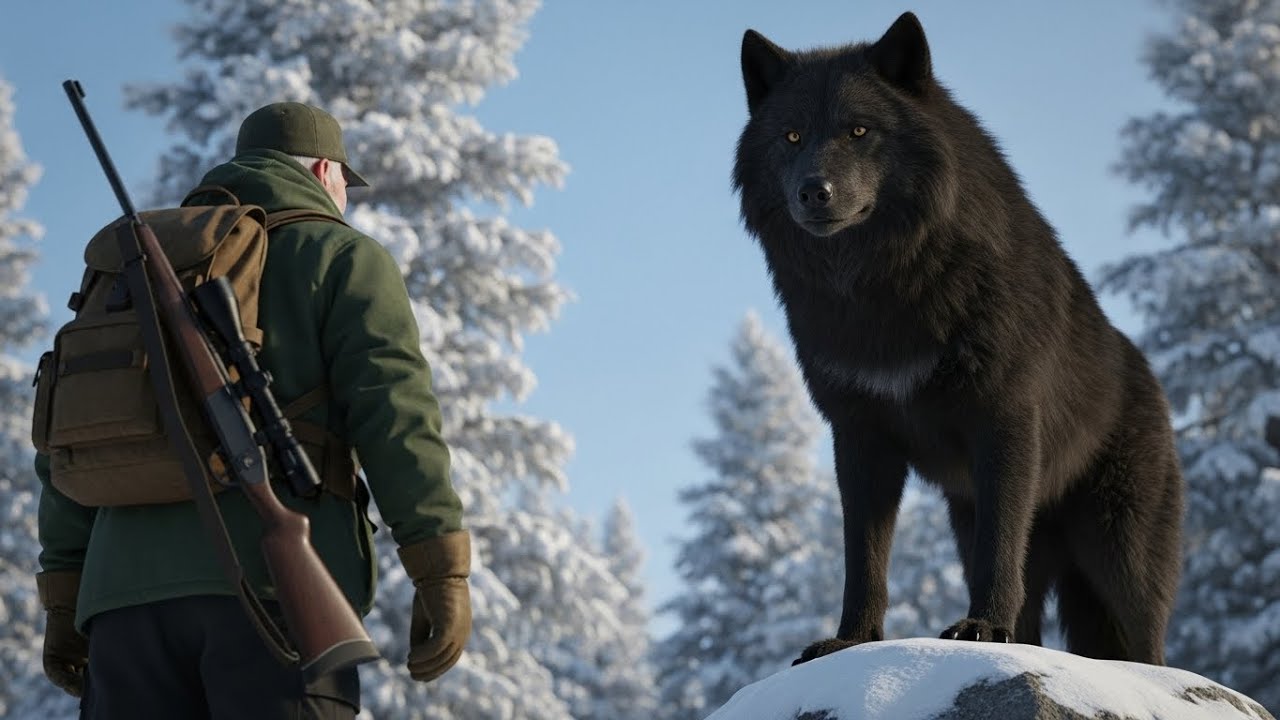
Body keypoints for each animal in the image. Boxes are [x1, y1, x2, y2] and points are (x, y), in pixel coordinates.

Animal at [732, 12, 1184, 665]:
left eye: (859, 130)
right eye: (791, 137)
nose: (813, 191)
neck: (879, 290)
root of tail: (1149, 377)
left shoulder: (1004, 419)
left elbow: (1000, 547)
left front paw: (982, 628)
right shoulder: (859, 436)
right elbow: (863, 558)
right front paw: (852, 640)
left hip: (1119, 557)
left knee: (1146, 649)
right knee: (1032, 626)